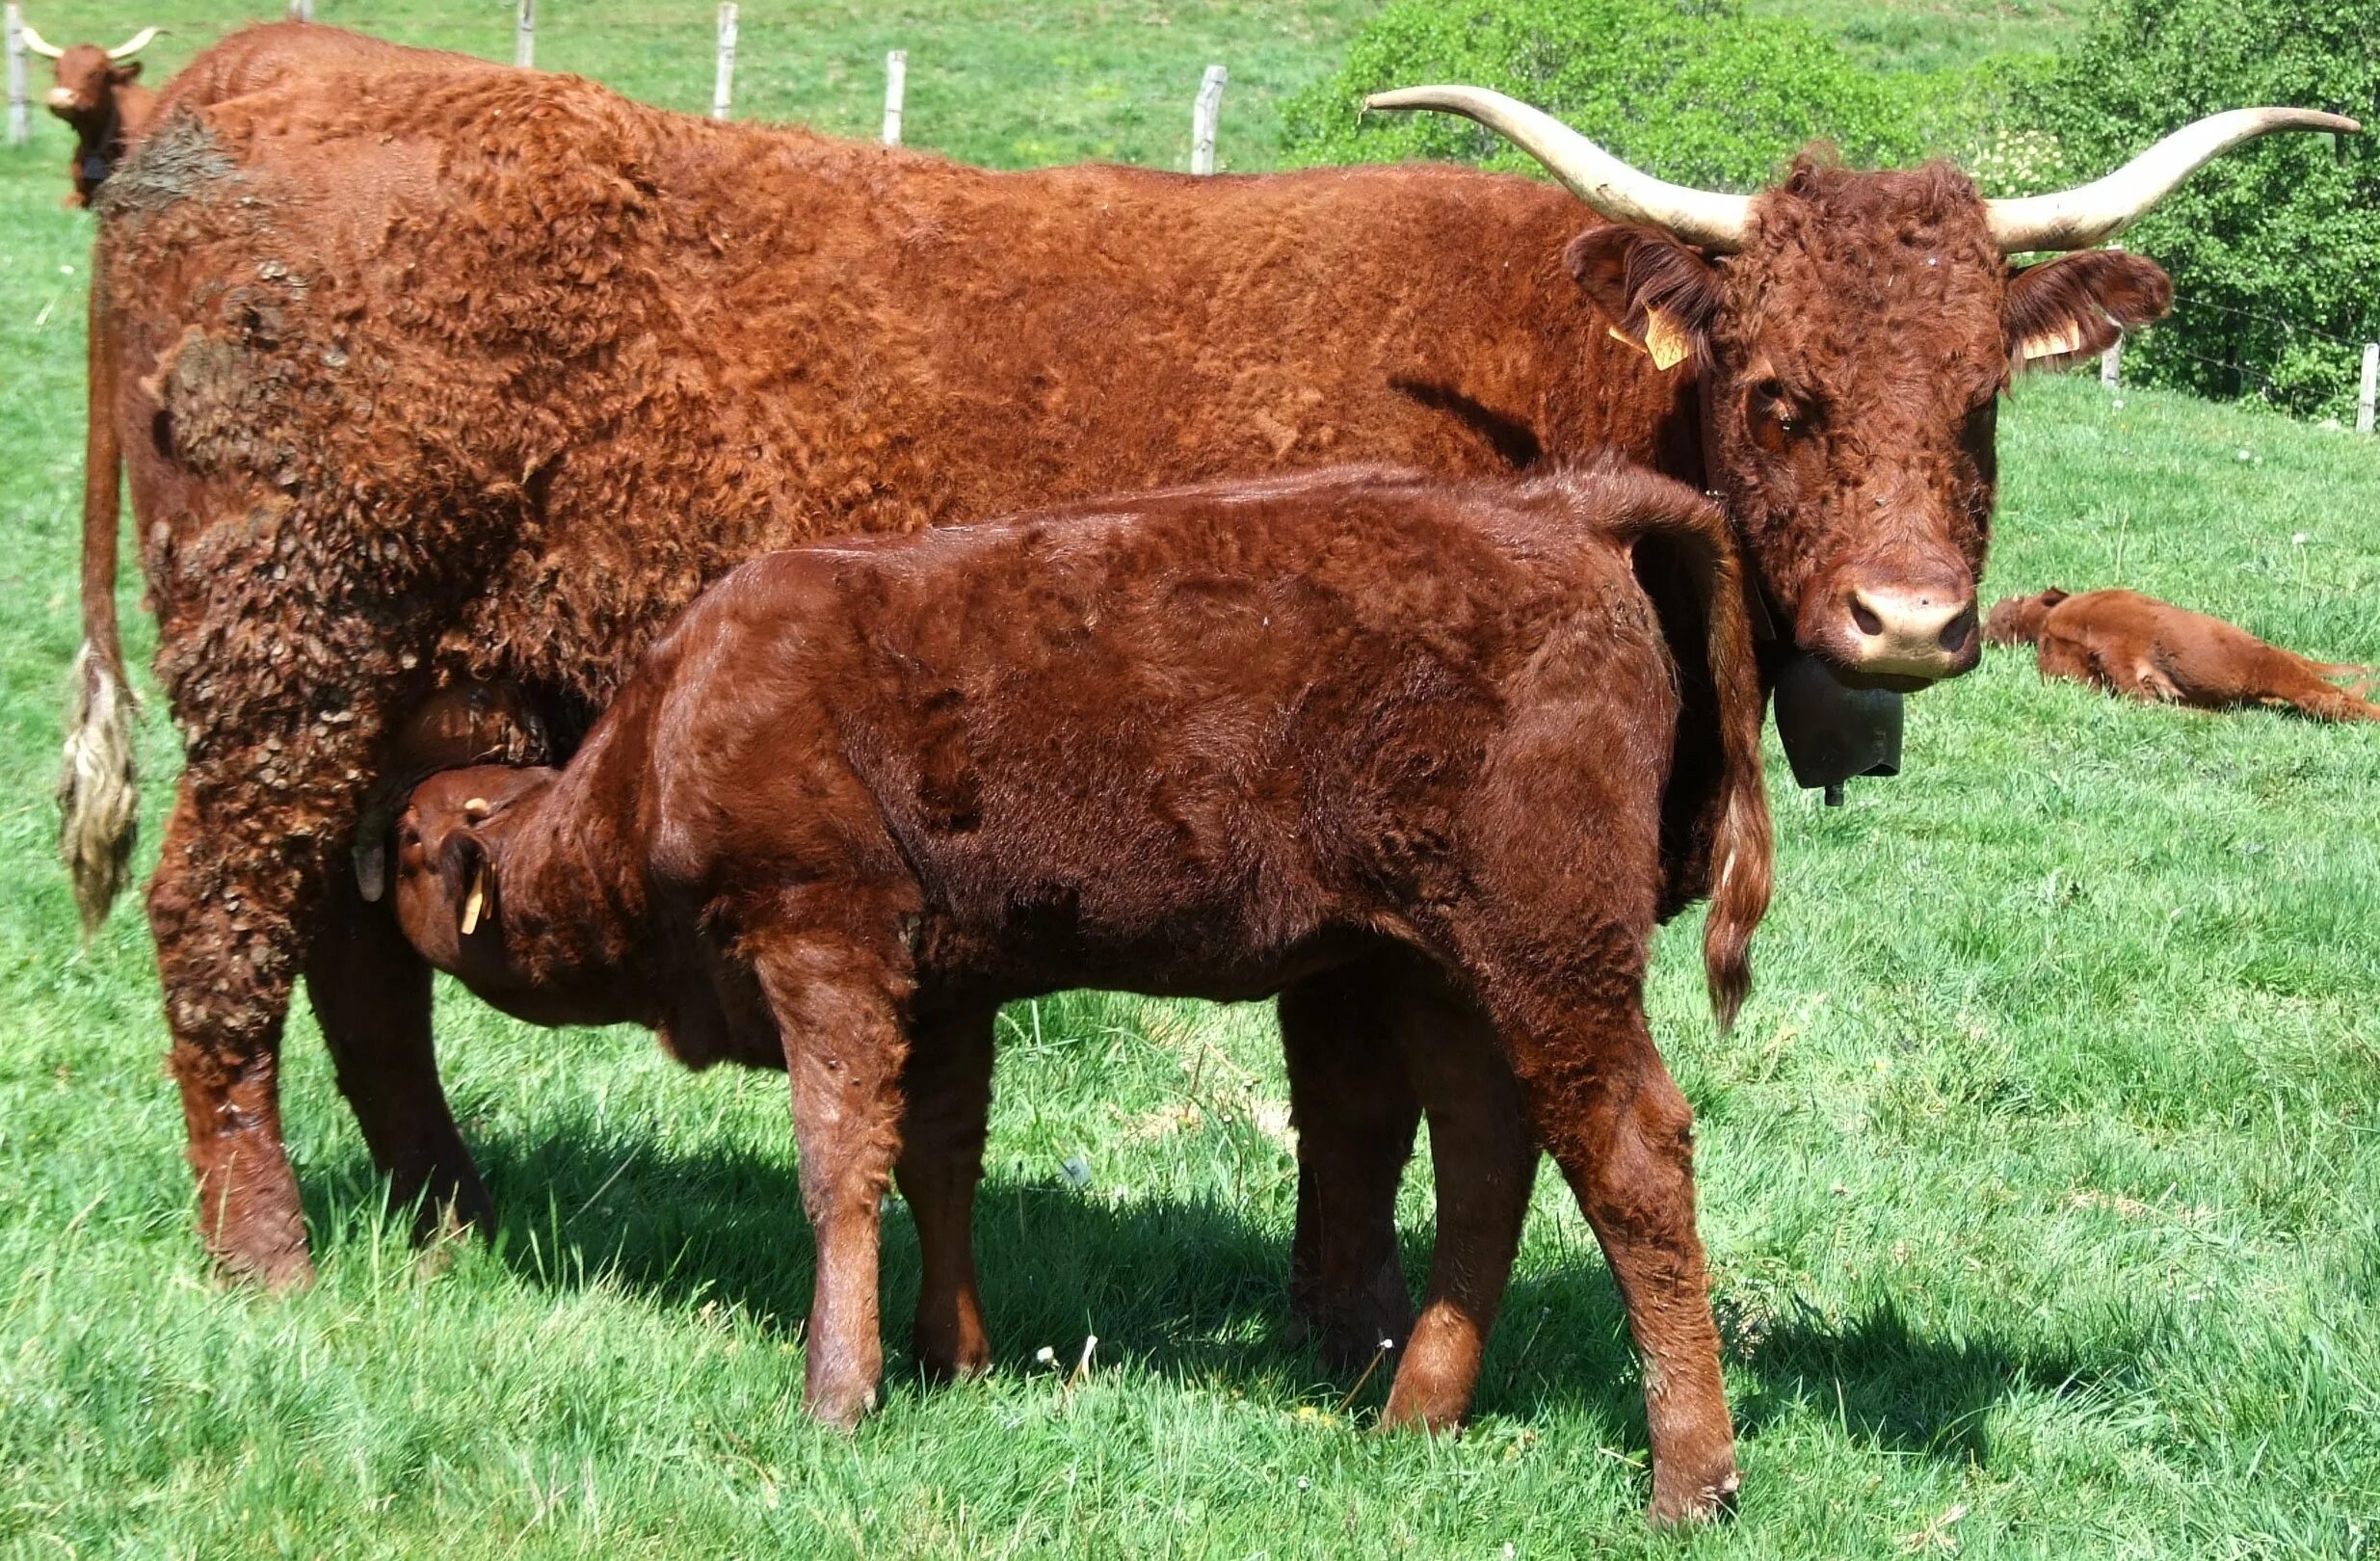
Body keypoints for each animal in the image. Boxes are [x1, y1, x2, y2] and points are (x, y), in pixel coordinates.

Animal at [385, 466, 1770, 1522]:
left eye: (404, 844)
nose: (356, 863)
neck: (667, 738)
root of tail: (1561, 504)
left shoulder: (824, 951)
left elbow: (837, 1164)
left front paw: (838, 1391)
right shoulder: (946, 993)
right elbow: (937, 1159)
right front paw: (953, 1356)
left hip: (1550, 963)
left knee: (1632, 1161)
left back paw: (1684, 1483)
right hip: (1436, 967)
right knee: (1489, 1160)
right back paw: (1410, 1418)